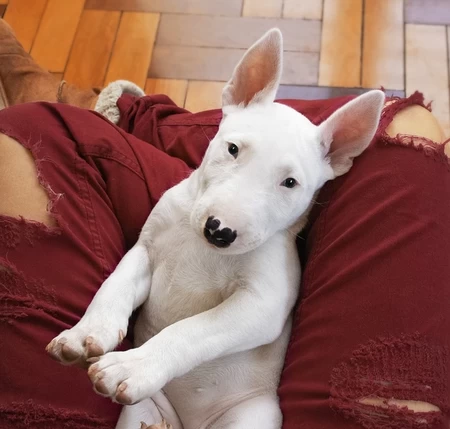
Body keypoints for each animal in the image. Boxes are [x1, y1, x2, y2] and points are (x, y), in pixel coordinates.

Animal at [46, 28, 384, 429]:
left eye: (290, 183)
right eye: (233, 148)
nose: (219, 231)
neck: (201, 249)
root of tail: (189, 423)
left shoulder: (262, 303)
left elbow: (193, 330)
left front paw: (133, 367)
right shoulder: (146, 250)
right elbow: (114, 285)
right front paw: (84, 335)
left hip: (252, 414)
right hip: (141, 410)